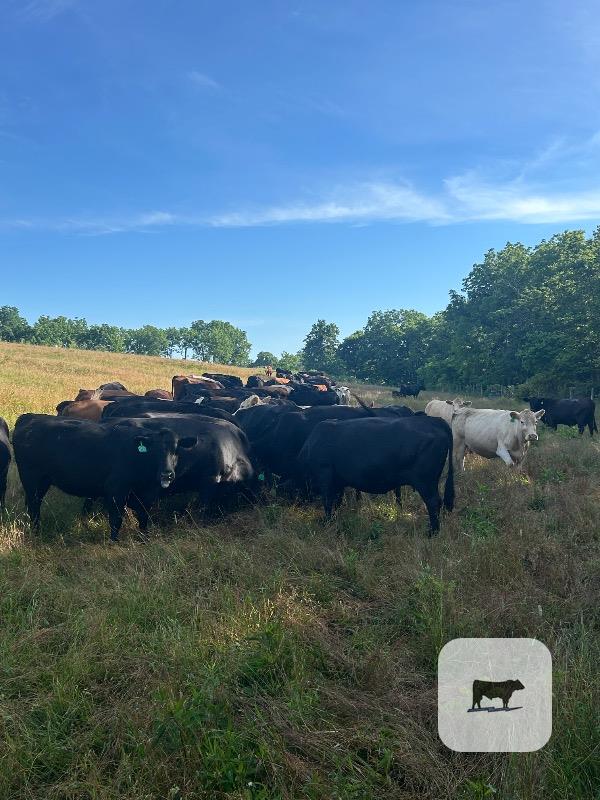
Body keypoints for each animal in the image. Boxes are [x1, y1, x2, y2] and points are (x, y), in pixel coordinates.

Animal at [12, 414, 197, 541]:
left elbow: (144, 518)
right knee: (34, 506)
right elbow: (116, 520)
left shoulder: (147, 495)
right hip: (31, 478)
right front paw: (114, 541)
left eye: (176, 450)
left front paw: (144, 540)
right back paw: (36, 532)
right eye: (154, 450)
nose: (167, 473)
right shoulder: (116, 491)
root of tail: (29, 417)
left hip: (43, 481)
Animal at [296, 415, 454, 534]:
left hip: (425, 481)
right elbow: (337, 501)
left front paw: (327, 522)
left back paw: (433, 532)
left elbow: (328, 501)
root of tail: (432, 420)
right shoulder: (338, 481)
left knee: (433, 502)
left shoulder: (325, 476)